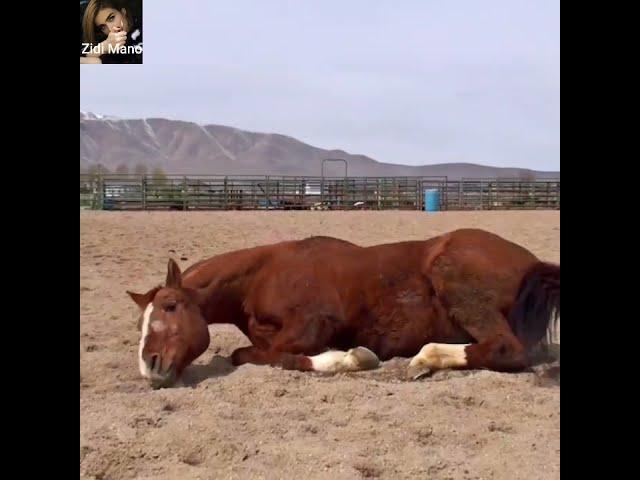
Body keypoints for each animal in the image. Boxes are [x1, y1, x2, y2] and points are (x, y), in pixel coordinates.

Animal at [126, 229, 560, 390]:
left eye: (170, 306)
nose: (149, 366)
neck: (262, 274)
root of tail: (531, 262)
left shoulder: (315, 324)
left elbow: (260, 356)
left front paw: (354, 358)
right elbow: (259, 352)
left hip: (457, 283)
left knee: (505, 349)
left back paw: (423, 359)